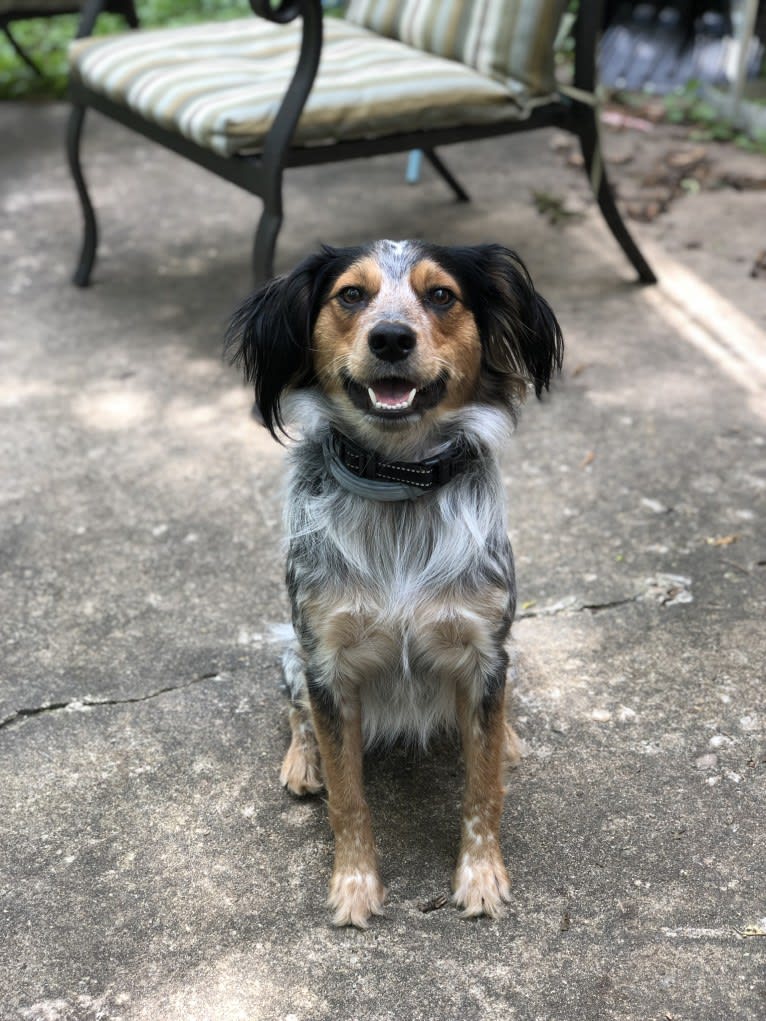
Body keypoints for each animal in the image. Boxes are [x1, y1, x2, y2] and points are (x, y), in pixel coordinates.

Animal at [227, 238, 563, 927]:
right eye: (351, 295)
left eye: (441, 296)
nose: (390, 338)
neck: (397, 480)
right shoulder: (326, 662)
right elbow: (348, 798)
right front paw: (354, 885)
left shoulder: (484, 652)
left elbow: (482, 790)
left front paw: (481, 878)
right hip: (292, 656)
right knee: (296, 711)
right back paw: (302, 760)